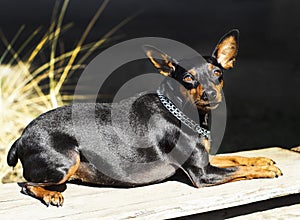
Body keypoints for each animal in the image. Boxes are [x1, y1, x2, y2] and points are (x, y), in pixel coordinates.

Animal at [7, 29, 284, 206]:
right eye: (188, 78)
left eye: (217, 73)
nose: (210, 93)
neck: (181, 111)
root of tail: (20, 138)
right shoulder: (203, 173)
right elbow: (237, 168)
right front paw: (266, 170)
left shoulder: (205, 160)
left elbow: (236, 157)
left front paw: (262, 160)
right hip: (67, 159)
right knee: (26, 184)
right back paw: (50, 195)